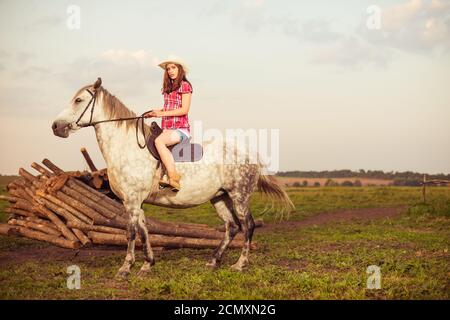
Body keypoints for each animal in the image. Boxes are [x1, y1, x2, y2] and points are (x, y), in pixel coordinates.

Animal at [51, 77, 296, 278]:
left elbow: (130, 232)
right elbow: (144, 231)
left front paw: (125, 268)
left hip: (239, 196)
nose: (55, 126)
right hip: (219, 197)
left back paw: (240, 264)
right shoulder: (138, 202)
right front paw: (147, 265)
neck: (126, 146)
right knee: (232, 226)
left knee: (248, 226)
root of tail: (250, 154)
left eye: (78, 100)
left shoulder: (131, 200)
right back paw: (213, 261)